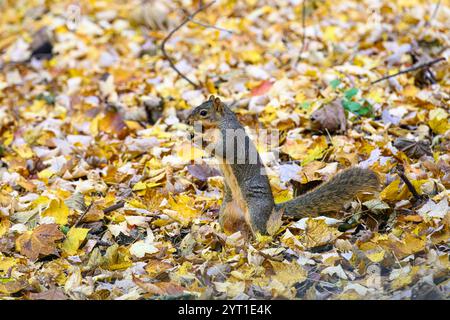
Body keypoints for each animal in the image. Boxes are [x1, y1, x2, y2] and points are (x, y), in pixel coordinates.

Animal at [186, 96, 380, 236]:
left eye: (203, 112)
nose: (188, 120)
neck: (220, 124)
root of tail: (273, 209)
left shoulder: (231, 140)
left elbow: (221, 149)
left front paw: (198, 139)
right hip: (227, 209)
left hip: (255, 212)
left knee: (263, 232)